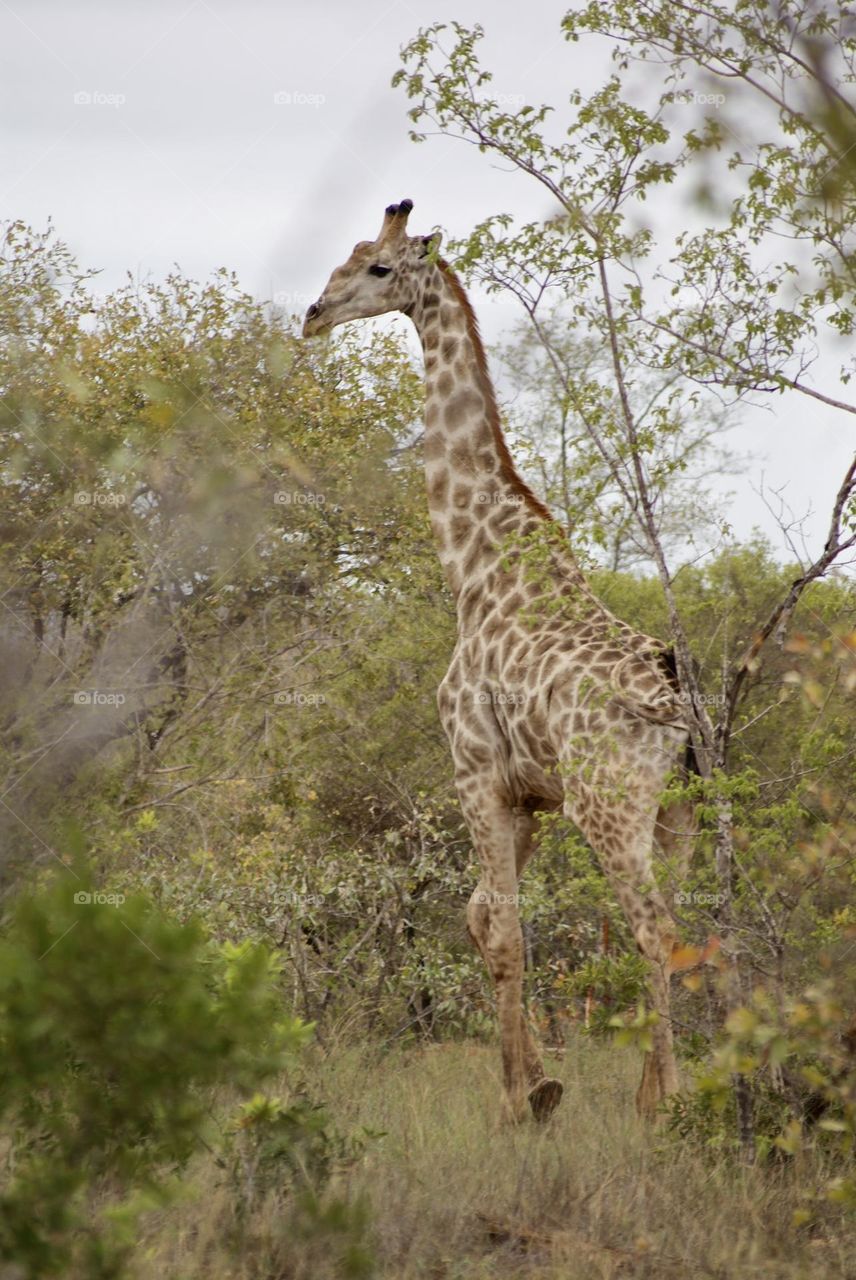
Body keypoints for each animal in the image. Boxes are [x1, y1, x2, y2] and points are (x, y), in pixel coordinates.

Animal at [300, 197, 696, 1121]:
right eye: (348, 255)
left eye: (378, 267)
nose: (313, 314)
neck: (472, 562)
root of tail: (673, 712)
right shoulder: (529, 795)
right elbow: (483, 916)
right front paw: (532, 1080)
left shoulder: (474, 768)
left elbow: (506, 929)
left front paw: (526, 1098)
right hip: (678, 815)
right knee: (685, 927)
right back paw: (673, 1084)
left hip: (611, 808)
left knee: (652, 927)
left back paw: (660, 1102)